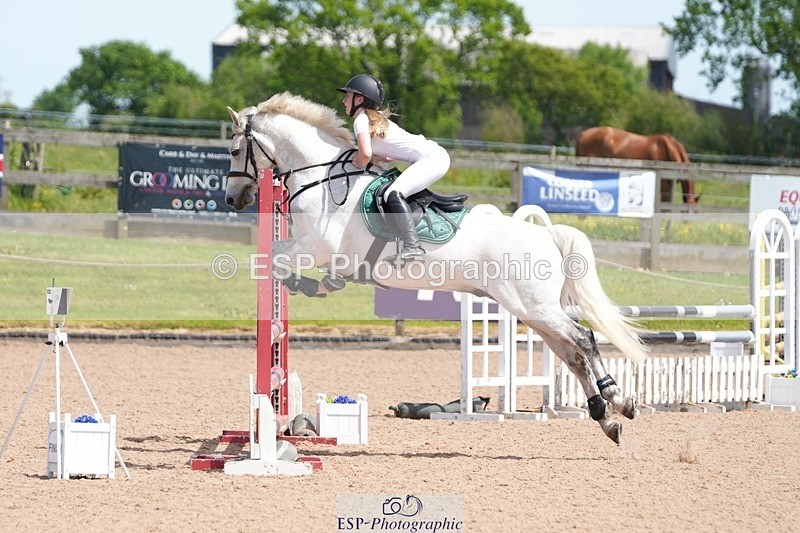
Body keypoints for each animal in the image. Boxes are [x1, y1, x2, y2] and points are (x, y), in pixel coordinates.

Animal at [224, 92, 649, 444]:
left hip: (534, 307)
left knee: (582, 340)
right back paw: (607, 416)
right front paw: (320, 286)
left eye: (233, 150)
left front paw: (309, 286)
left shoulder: (315, 248)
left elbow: (273, 259)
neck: (322, 179)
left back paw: (616, 399)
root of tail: (546, 234)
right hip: (531, 311)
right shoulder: (317, 250)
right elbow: (276, 259)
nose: (231, 199)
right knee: (571, 353)